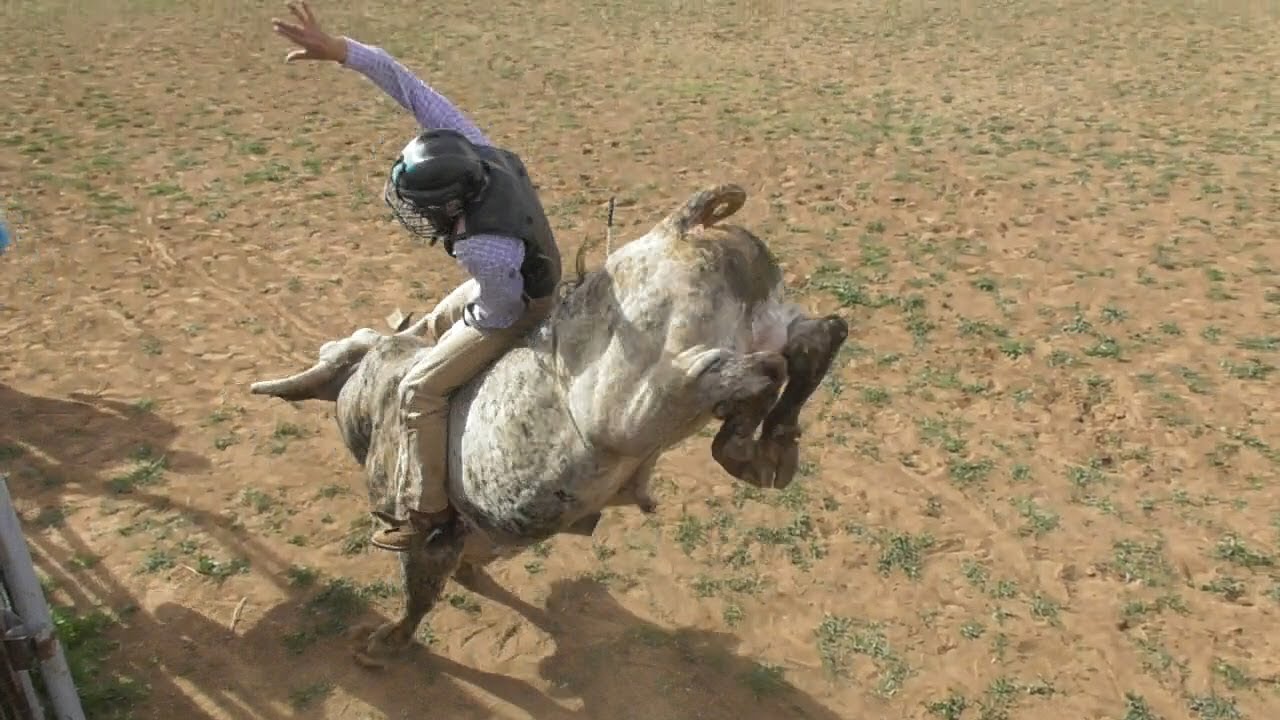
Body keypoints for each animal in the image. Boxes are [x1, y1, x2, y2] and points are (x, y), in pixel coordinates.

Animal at [249, 183, 849, 661]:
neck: (379, 384)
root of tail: (672, 230)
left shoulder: (423, 531)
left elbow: (419, 588)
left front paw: (385, 643)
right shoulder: (477, 529)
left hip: (646, 401)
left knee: (758, 371)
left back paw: (742, 443)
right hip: (769, 318)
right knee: (816, 338)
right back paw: (771, 445)